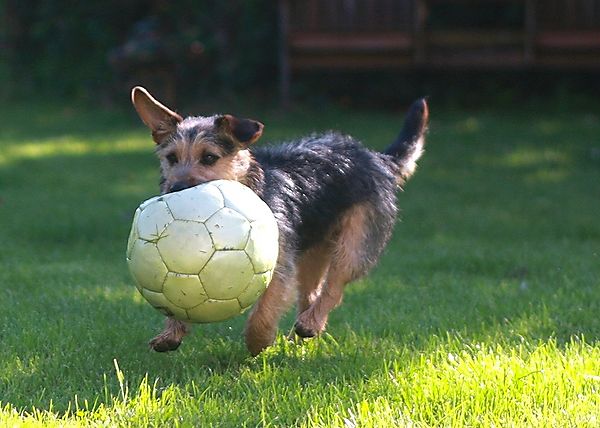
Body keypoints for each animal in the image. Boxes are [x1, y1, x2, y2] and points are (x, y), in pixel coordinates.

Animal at [133, 86, 428, 354]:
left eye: (209, 158)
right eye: (171, 158)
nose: (176, 189)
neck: (251, 185)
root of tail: (375, 158)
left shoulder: (279, 265)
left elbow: (265, 308)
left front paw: (258, 342)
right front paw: (172, 332)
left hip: (356, 243)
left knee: (335, 287)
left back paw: (309, 324)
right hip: (313, 252)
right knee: (311, 293)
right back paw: (302, 336)